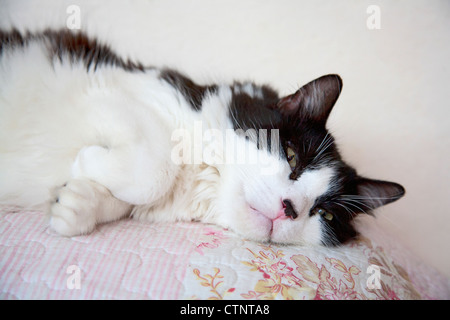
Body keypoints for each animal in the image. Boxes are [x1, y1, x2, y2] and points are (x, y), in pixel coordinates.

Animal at [0, 29, 406, 245]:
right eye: (291, 157)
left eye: (324, 214)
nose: (289, 208)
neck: (199, 174)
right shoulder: (109, 85)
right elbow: (155, 170)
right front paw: (86, 160)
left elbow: (132, 196)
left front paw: (74, 201)